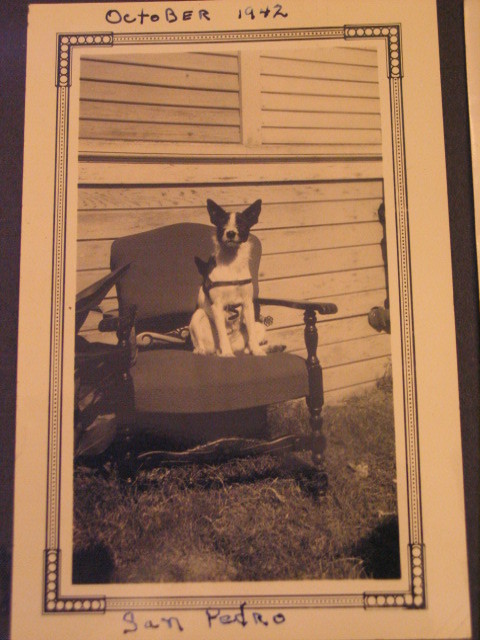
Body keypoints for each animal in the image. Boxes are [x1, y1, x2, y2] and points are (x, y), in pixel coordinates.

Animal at [189, 198, 267, 357]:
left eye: (241, 225)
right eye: (222, 225)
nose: (230, 233)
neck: (232, 264)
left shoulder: (247, 304)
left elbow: (251, 332)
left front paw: (256, 350)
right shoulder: (217, 306)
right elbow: (223, 333)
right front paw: (227, 354)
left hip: (260, 326)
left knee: (251, 336)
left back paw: (248, 349)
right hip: (197, 316)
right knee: (201, 344)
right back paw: (205, 350)